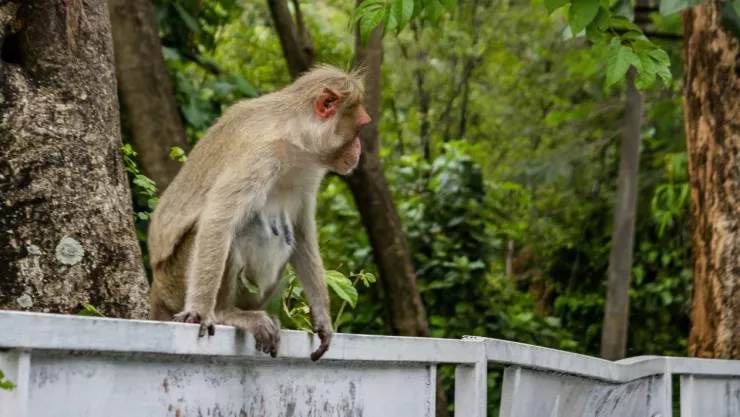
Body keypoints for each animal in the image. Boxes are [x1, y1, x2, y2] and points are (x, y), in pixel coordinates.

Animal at [146, 65, 370, 361]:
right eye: (359, 129)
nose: (359, 149)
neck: (294, 137)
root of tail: (158, 287)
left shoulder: (311, 168)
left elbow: (301, 231)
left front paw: (323, 317)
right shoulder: (260, 154)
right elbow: (218, 218)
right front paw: (200, 312)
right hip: (175, 280)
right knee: (235, 231)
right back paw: (225, 312)